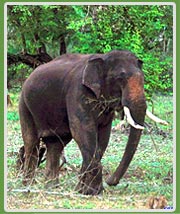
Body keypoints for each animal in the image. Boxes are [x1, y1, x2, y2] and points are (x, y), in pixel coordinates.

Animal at [18, 49, 167, 194]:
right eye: (120, 78)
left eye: (143, 79)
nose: (110, 181)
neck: (103, 57)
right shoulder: (78, 92)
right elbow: (82, 131)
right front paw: (92, 191)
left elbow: (103, 136)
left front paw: (83, 190)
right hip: (24, 105)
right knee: (31, 142)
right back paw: (28, 185)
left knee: (56, 143)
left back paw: (51, 187)